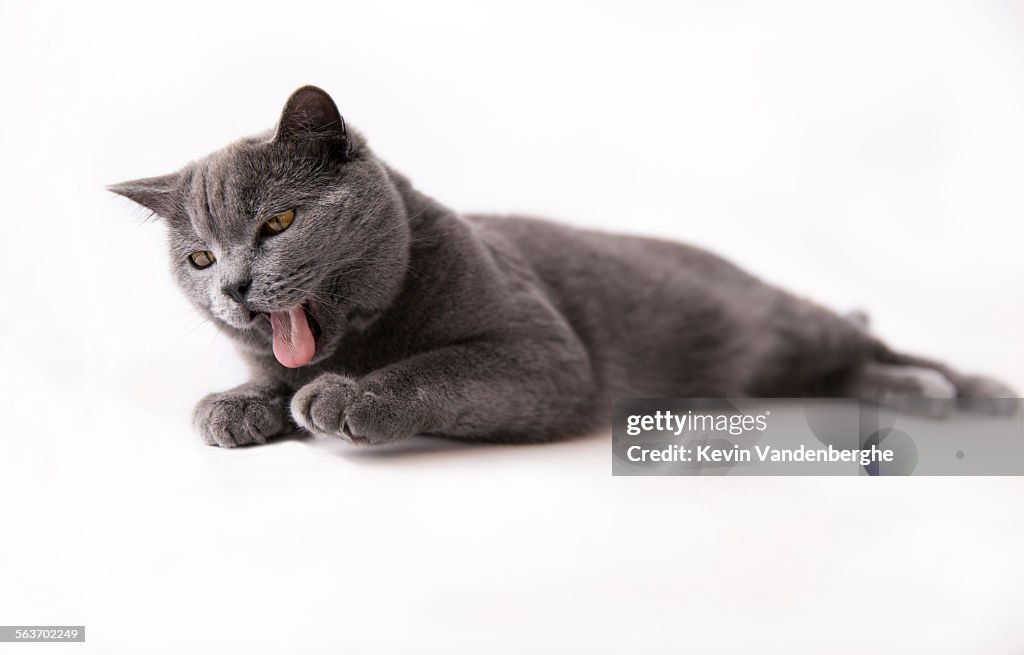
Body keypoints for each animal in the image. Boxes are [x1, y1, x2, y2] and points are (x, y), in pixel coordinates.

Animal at [110, 84, 1015, 448]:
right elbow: (262, 378)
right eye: (199, 256)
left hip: (787, 317)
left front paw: (343, 398)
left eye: (279, 223)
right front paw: (234, 406)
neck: (361, 338)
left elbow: (433, 369)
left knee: (872, 340)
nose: (232, 286)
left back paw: (963, 388)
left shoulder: (543, 352)